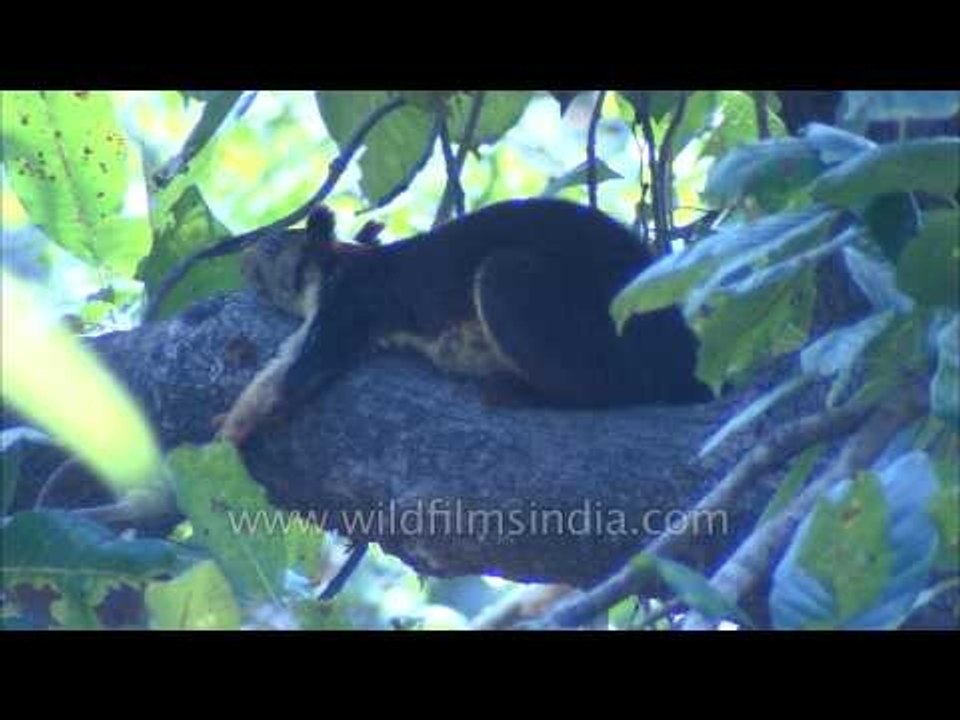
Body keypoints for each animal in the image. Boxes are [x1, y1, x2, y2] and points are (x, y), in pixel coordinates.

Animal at [215, 198, 712, 445]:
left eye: (274, 248)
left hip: (527, 294)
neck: (347, 262)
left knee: (615, 389)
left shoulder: (347, 305)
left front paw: (225, 433)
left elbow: (293, 379)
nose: (242, 262)